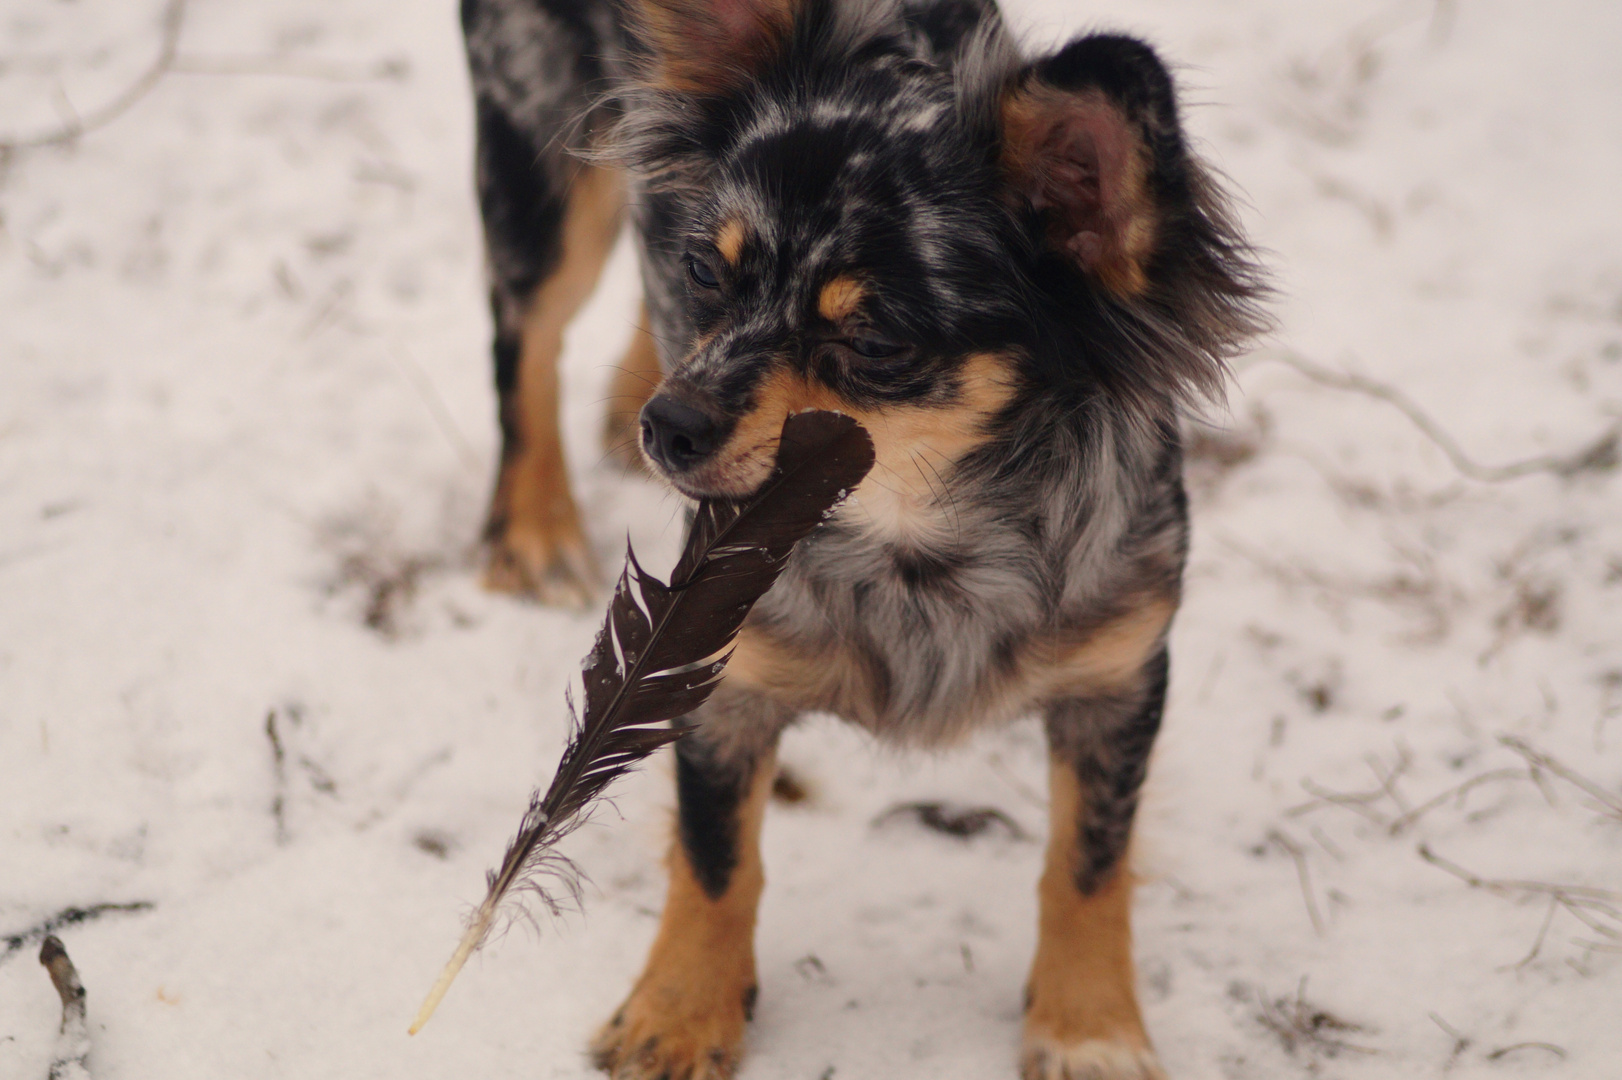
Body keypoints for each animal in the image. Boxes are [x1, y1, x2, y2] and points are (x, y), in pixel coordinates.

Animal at [457, 4, 1265, 1070]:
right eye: (704, 271)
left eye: (876, 342)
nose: (671, 425)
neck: (920, 545)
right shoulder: (720, 683)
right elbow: (716, 860)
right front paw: (678, 1014)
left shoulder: (1118, 677)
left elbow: (1089, 862)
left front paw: (1088, 1027)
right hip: (539, 160)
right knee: (528, 337)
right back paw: (537, 523)